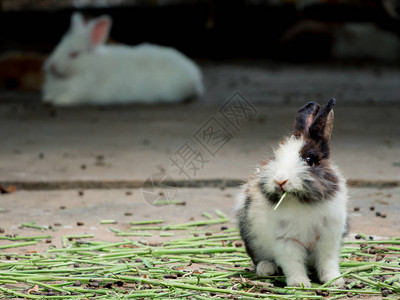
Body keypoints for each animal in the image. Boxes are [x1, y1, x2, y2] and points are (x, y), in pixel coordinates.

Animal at [42, 13, 205, 106]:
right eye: (57, 46)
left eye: (74, 54)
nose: (51, 66)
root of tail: (195, 78)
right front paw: (48, 99)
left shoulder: (80, 91)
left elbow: (69, 98)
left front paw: (58, 101)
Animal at [236, 98, 348, 288]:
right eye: (276, 157)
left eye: (310, 160)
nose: (280, 180)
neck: (301, 201)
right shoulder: (286, 241)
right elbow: (293, 264)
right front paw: (299, 283)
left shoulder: (328, 239)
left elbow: (328, 262)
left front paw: (335, 281)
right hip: (253, 240)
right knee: (259, 258)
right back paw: (267, 269)